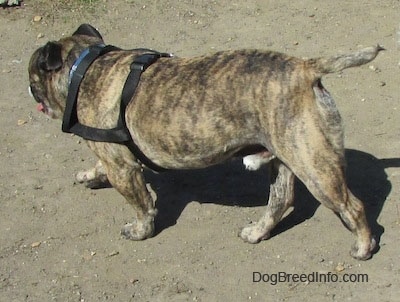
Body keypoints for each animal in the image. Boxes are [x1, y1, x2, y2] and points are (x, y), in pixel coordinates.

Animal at [28, 23, 384, 260]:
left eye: (31, 79)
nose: (31, 93)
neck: (85, 67)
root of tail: (304, 68)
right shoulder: (113, 157)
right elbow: (99, 166)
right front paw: (89, 176)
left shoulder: (123, 169)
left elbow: (142, 205)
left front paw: (140, 231)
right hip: (285, 160)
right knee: (281, 200)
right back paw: (257, 232)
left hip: (315, 169)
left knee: (353, 205)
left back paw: (363, 246)